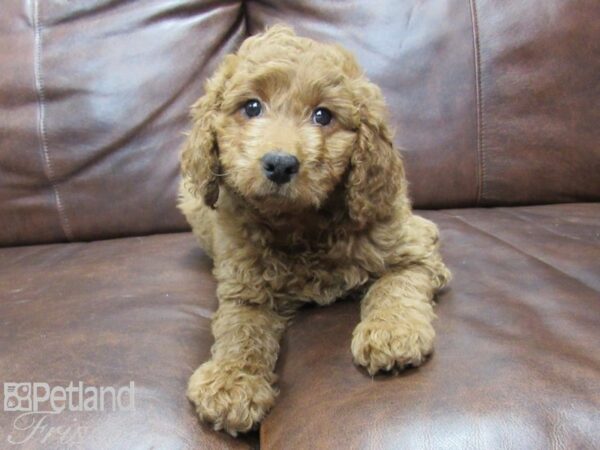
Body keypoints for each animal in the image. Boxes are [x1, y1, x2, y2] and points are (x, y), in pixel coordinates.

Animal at [178, 25, 450, 436]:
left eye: (323, 115)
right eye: (252, 107)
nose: (280, 164)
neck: (300, 223)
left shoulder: (414, 244)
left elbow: (396, 285)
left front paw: (391, 333)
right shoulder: (244, 287)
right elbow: (240, 329)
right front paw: (232, 382)